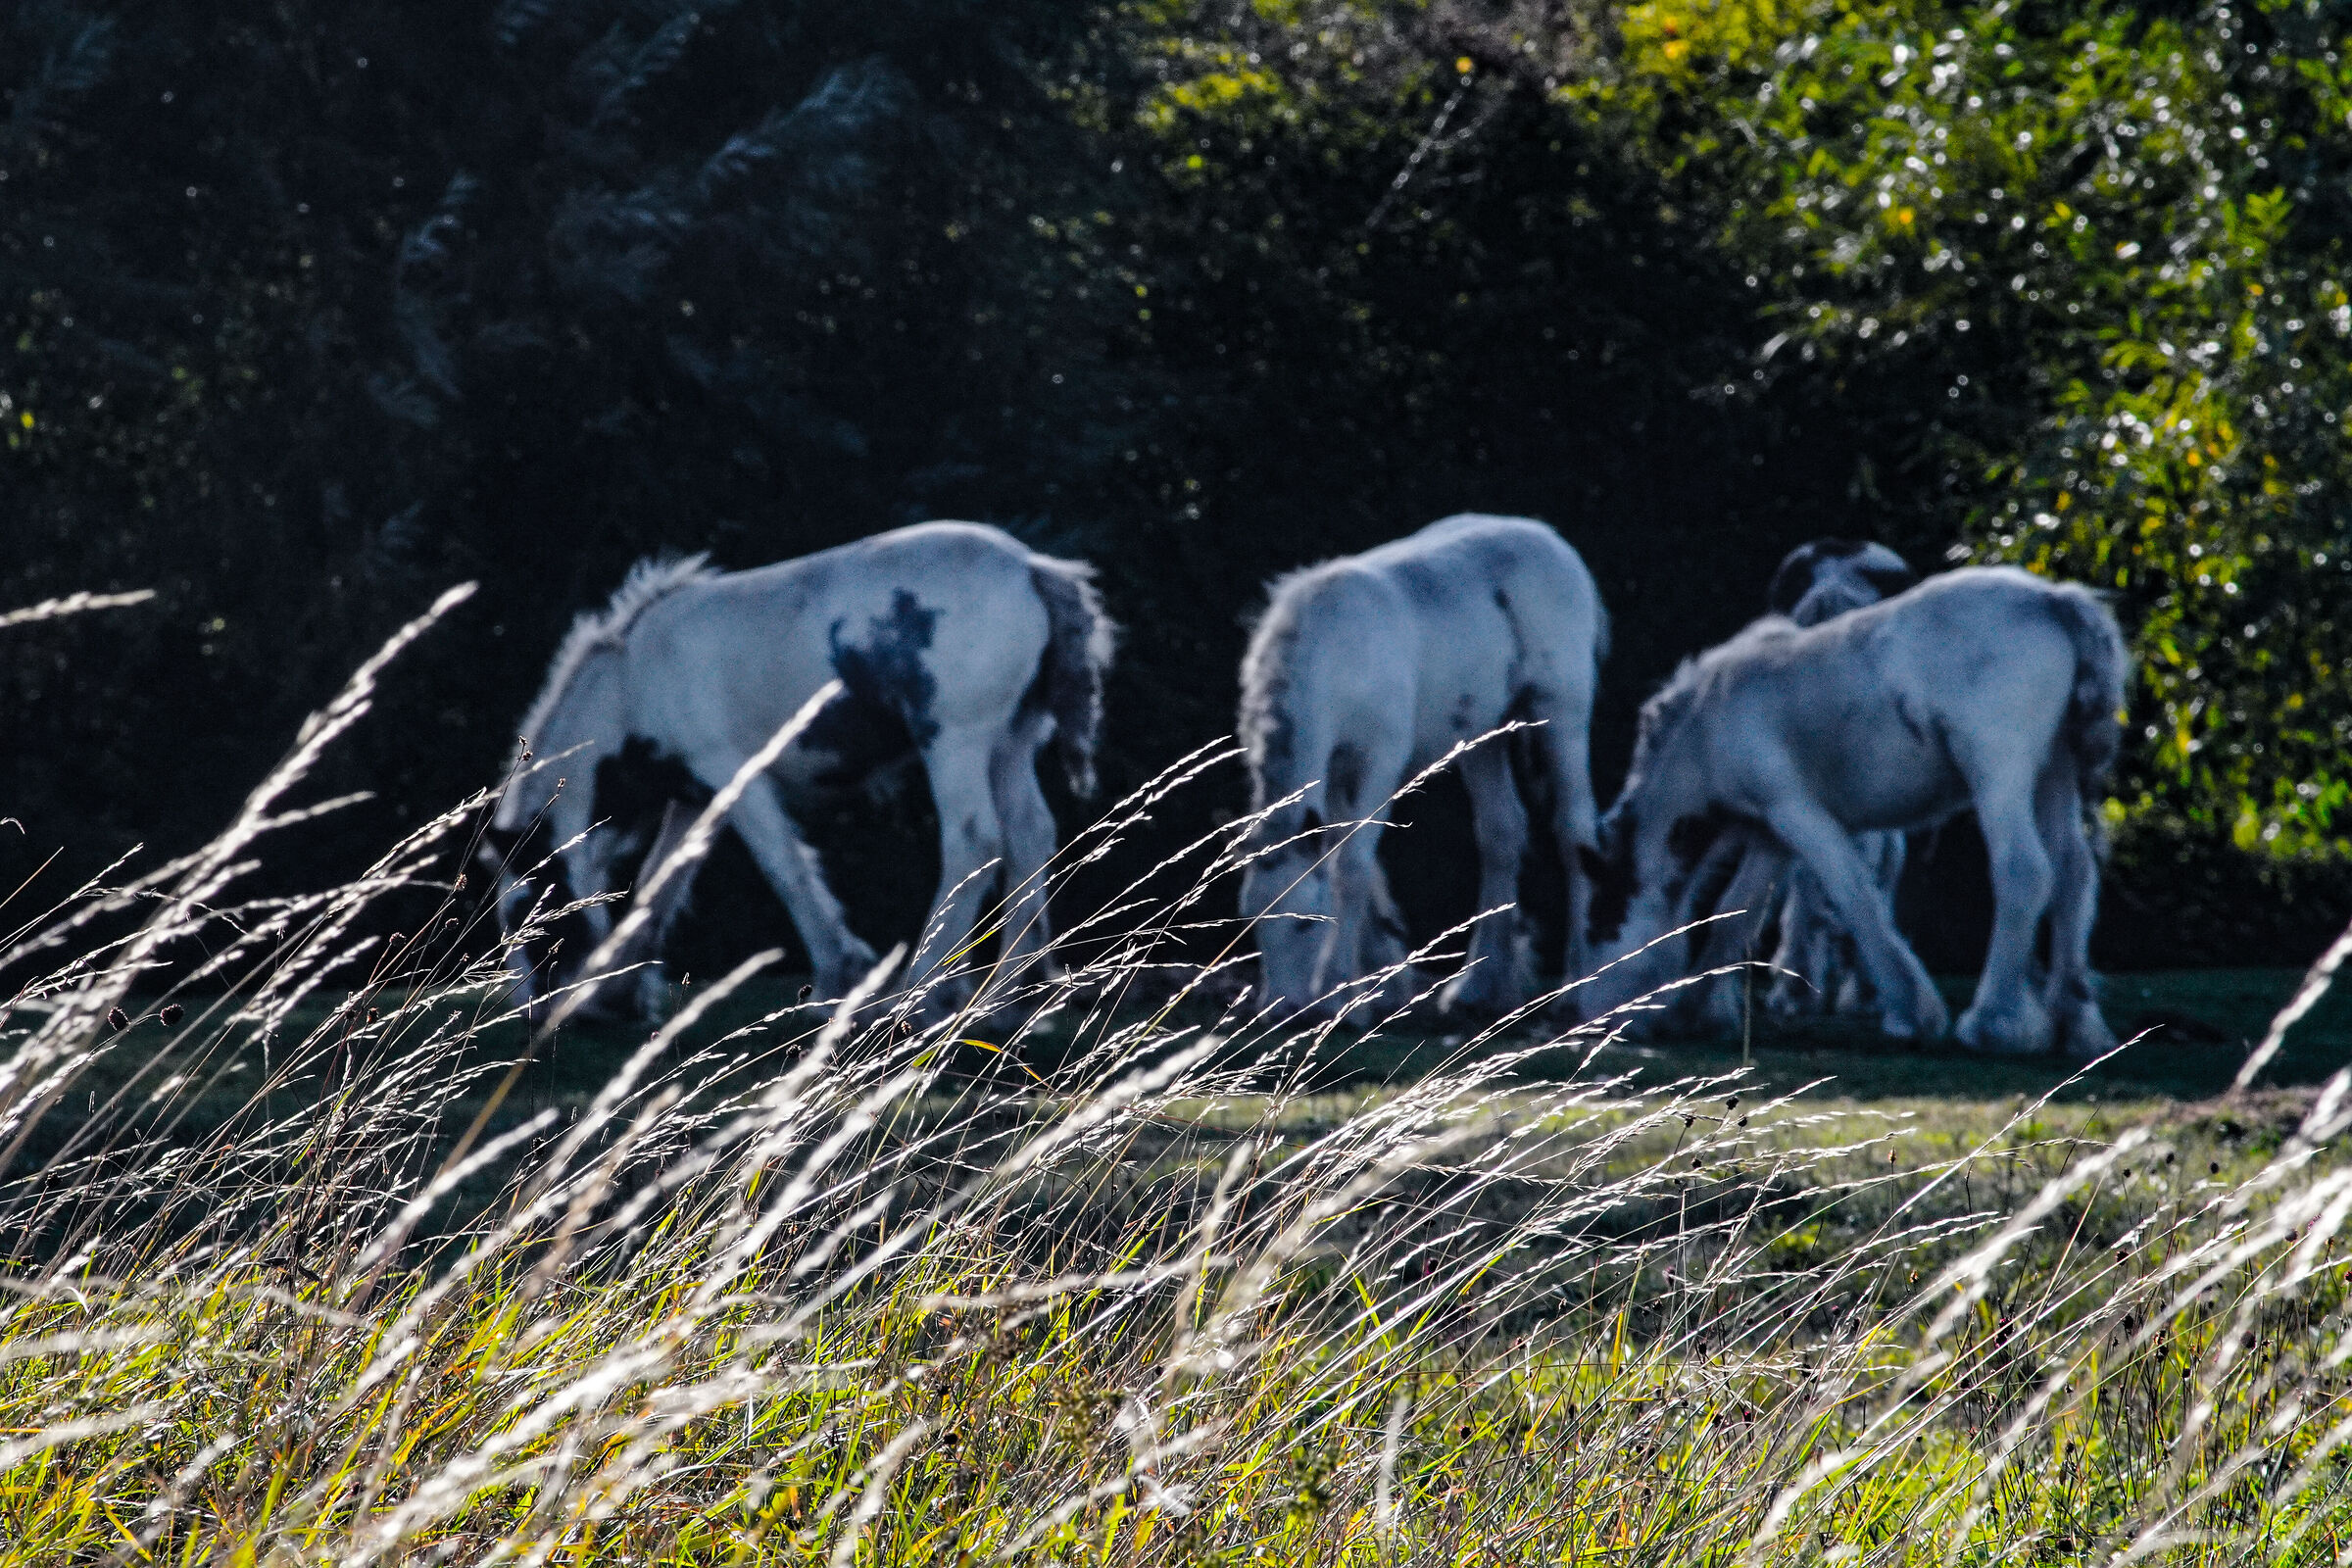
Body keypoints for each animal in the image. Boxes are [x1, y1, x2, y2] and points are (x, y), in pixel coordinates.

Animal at [486, 521, 1114, 1018]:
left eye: (528, 912)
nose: (531, 1013)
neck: (634, 681)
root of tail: (1031, 568)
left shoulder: (735, 776)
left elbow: (785, 870)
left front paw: (839, 980)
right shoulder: (693, 799)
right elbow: (658, 884)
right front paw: (620, 989)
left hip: (956, 742)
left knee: (975, 843)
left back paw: (917, 991)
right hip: (1010, 743)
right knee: (1030, 836)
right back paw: (1006, 989)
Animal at [1236, 514, 1606, 1019]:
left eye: (1304, 923)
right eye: (1250, 917)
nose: (1278, 1010)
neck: (1334, 653)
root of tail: (1550, 541)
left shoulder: (1379, 760)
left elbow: (1351, 866)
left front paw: (1338, 993)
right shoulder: (1333, 770)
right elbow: (1352, 861)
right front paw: (1379, 984)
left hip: (1561, 715)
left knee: (1574, 832)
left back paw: (1577, 988)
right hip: (1484, 735)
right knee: (1501, 834)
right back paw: (1477, 987)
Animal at [1577, 565, 2125, 1058]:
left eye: (1600, 921)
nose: (1582, 1018)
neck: (1708, 724)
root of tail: (2053, 600)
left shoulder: (1797, 811)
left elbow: (1855, 896)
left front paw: (1913, 1011)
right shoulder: (1769, 831)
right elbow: (1736, 913)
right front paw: (1694, 1010)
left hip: (1998, 768)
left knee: (2024, 872)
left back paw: (1994, 1022)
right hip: (2054, 771)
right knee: (2073, 874)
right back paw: (2077, 1025)